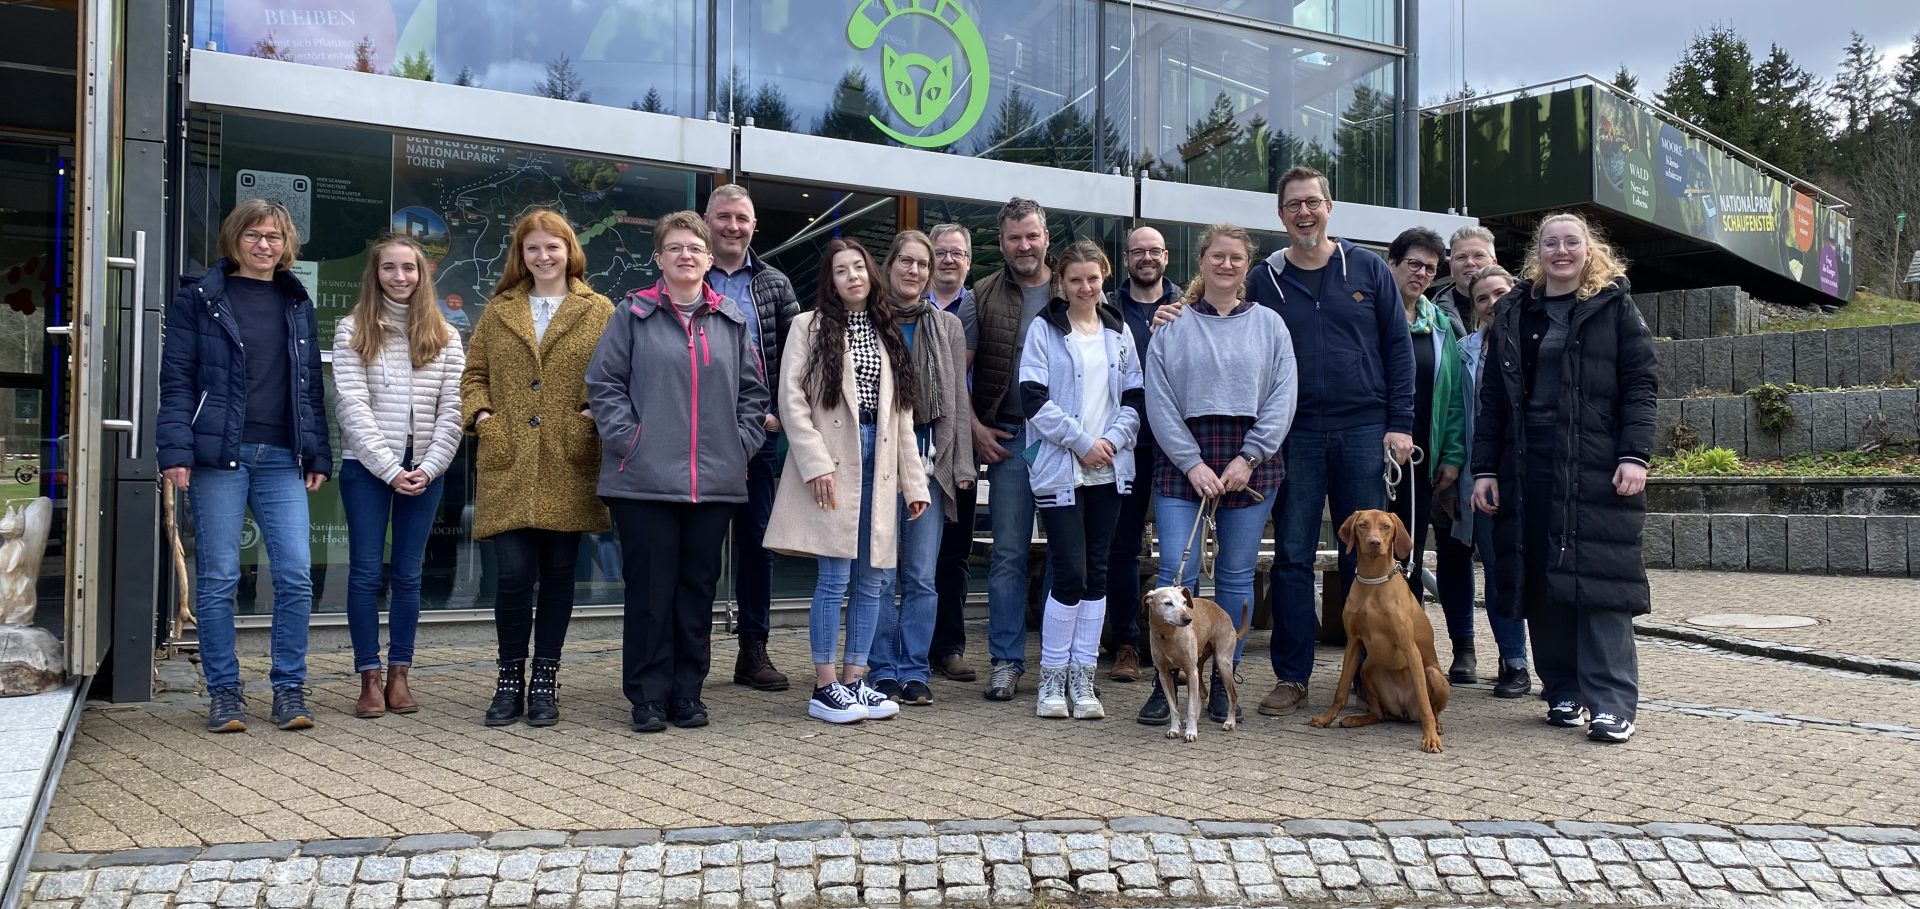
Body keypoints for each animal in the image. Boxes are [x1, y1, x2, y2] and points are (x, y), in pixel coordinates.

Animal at [1144, 584, 1251, 741]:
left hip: (1222, 663)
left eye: (1184, 602)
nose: (1188, 619)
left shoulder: (1190, 671)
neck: (1168, 635)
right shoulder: (1164, 675)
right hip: (1198, 668)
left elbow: (1191, 707)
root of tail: (1223, 612)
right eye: (1168, 603)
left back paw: (1230, 723)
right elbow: (1173, 707)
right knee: (1203, 693)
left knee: (1232, 695)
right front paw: (1174, 729)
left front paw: (1191, 732)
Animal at [1313, 511, 1443, 749]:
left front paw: (1429, 737)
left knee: (1431, 708)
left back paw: (1436, 725)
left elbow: (1424, 702)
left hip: (1434, 674)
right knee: (1379, 714)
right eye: (1363, 525)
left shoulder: (1410, 648)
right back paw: (1355, 719)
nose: (1374, 543)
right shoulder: (1353, 644)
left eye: (1385, 526)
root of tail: (1404, 711)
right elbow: (1341, 690)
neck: (1372, 582)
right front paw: (1327, 718)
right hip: (1367, 668)